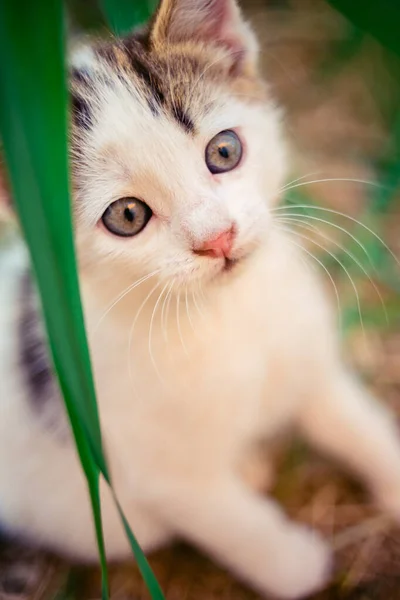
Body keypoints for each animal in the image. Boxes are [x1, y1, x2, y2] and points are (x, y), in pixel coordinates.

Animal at [0, 0, 400, 596]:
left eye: (224, 151)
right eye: (127, 216)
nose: (218, 238)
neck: (225, 314)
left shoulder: (307, 350)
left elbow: (352, 417)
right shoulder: (151, 466)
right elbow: (227, 519)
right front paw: (294, 564)